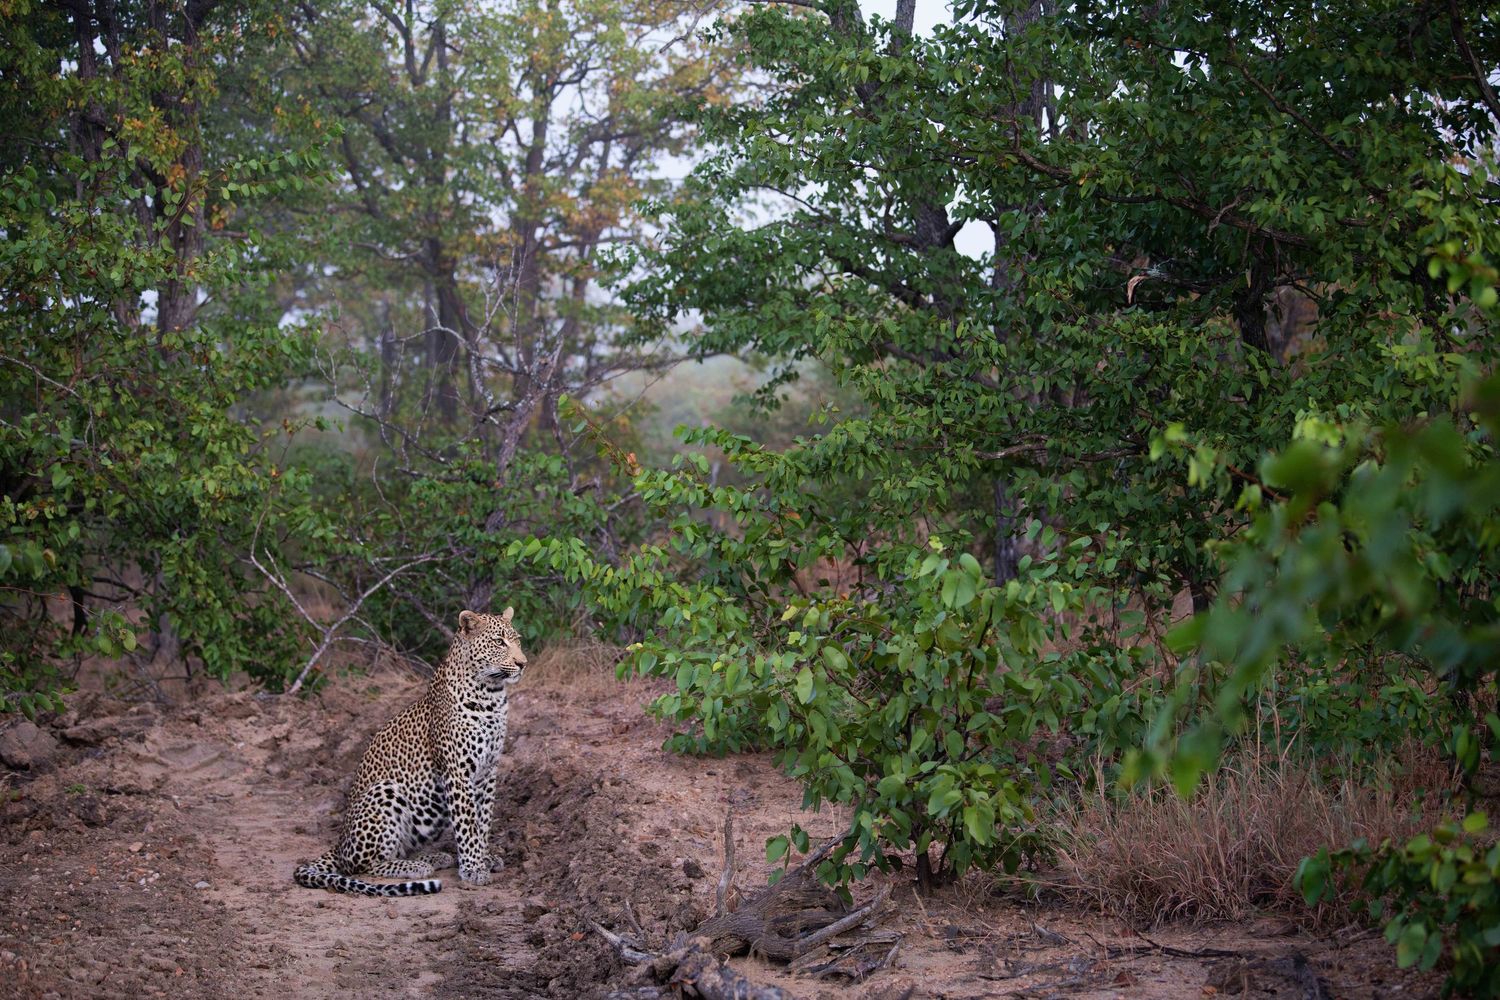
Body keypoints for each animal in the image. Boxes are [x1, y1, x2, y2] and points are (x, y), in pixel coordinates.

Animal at [293, 607, 528, 896]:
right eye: (499, 642)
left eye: (517, 640)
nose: (523, 663)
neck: (491, 696)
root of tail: (339, 844)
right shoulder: (457, 772)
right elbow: (467, 824)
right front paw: (473, 868)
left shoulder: (488, 771)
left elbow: (483, 821)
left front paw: (484, 858)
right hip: (385, 791)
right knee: (363, 866)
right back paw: (416, 867)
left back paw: (435, 857)